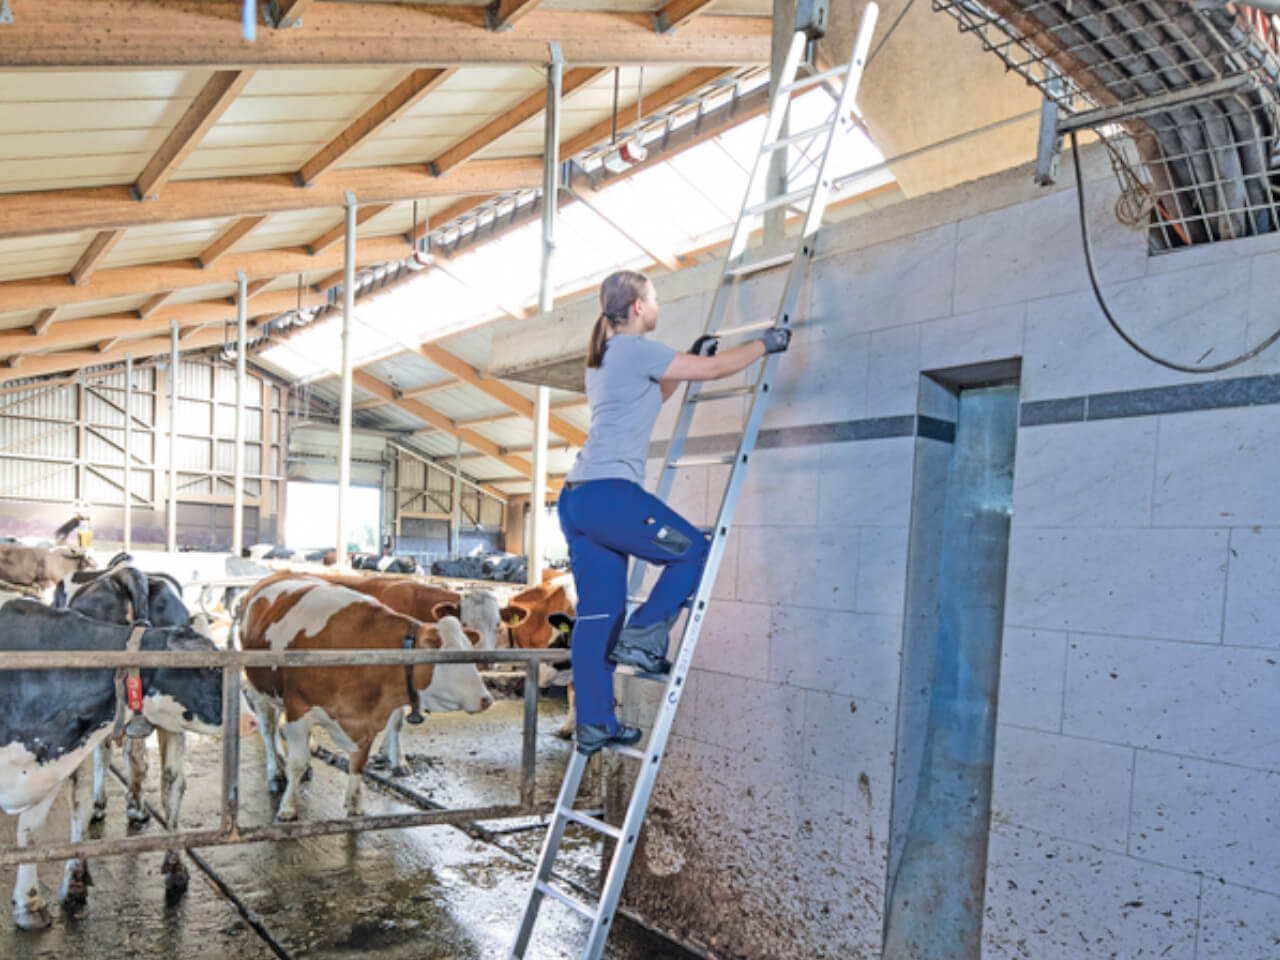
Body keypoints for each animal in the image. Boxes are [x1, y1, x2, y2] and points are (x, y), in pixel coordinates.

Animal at [238, 576, 491, 824]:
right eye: (450, 657)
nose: (486, 699)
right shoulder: (299, 710)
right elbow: (296, 763)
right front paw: (288, 809)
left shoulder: (367, 719)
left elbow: (358, 763)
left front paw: (355, 805)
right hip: (257, 689)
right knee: (268, 730)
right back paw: (275, 773)